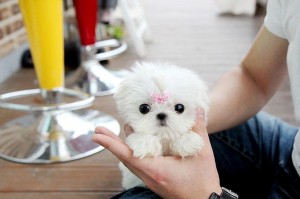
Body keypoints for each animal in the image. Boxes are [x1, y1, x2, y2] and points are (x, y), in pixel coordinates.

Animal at [113, 62, 210, 190]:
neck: (164, 137)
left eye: (180, 108)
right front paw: (145, 143)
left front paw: (187, 141)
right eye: (143, 108)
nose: (161, 115)